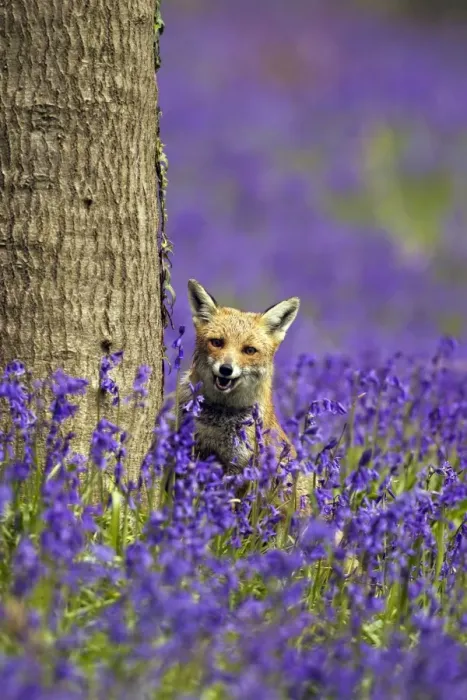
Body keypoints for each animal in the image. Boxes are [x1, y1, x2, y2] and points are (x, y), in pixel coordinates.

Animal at [176, 279, 310, 511]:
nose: (226, 369)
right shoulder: (193, 449)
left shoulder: (239, 465)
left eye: (249, 350)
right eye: (217, 342)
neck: (220, 416)